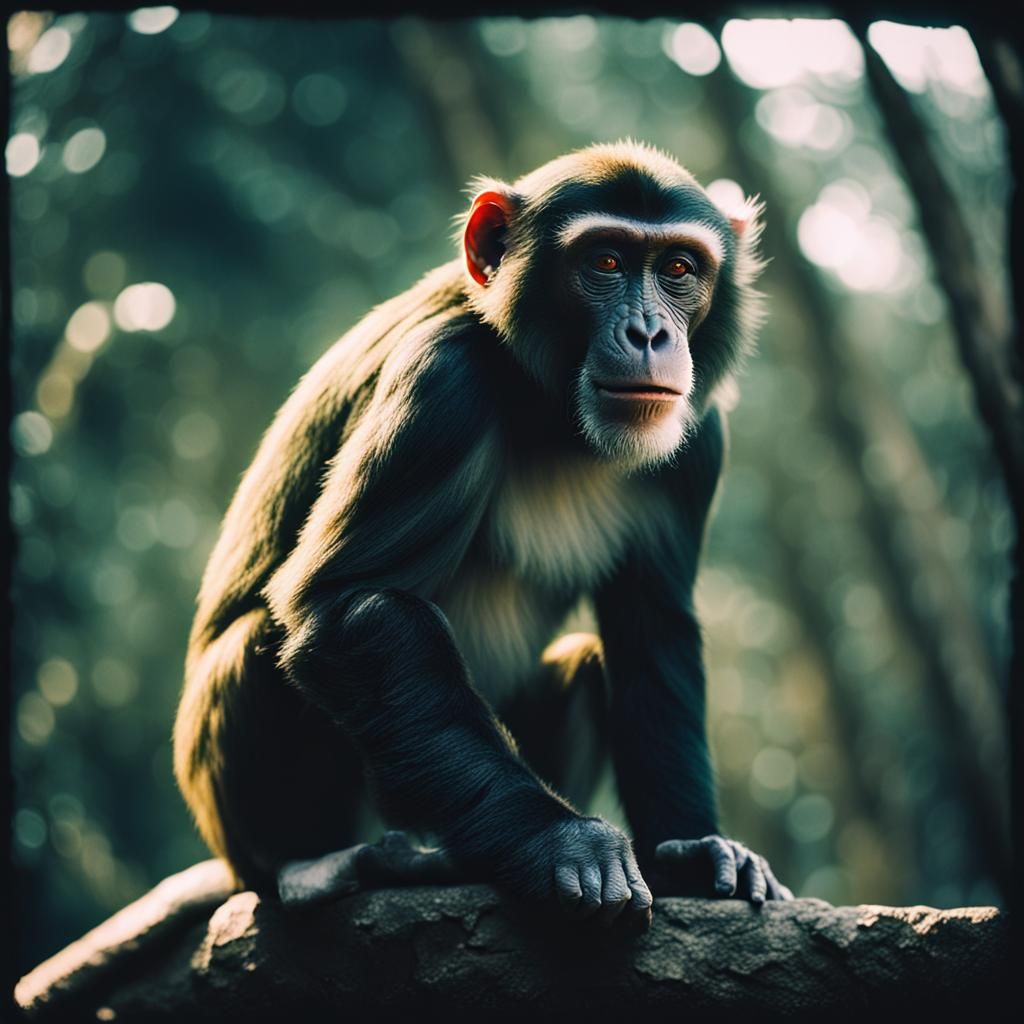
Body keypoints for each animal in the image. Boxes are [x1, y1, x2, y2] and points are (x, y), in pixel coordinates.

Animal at [172, 140, 791, 930]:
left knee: (588, 663)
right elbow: (353, 605)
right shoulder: (442, 388)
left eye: (679, 269)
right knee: (259, 643)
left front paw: (691, 850)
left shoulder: (699, 441)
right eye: (607, 261)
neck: (554, 412)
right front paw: (564, 841)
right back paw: (318, 866)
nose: (651, 332)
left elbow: (651, 628)